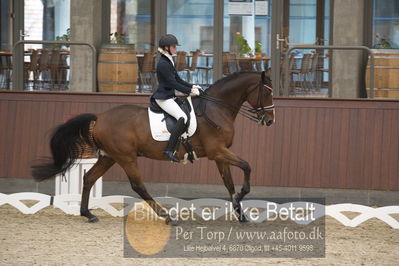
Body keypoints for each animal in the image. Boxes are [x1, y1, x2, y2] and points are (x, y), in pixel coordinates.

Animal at [32, 70, 276, 222]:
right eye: (266, 92)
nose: (270, 121)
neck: (216, 109)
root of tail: (99, 118)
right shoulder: (218, 151)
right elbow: (246, 165)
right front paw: (243, 194)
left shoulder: (218, 155)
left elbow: (228, 182)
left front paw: (240, 213)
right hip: (126, 157)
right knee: (138, 185)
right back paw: (167, 216)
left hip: (109, 157)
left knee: (89, 178)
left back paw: (88, 214)